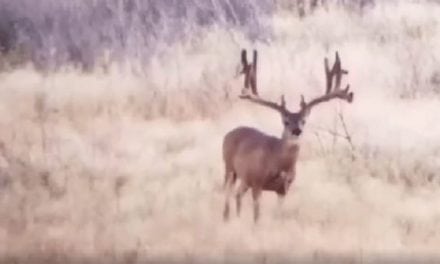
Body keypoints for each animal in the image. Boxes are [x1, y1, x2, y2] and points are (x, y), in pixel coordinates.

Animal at [223, 49, 354, 223]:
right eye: (285, 121)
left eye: (303, 121)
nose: (297, 131)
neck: (279, 163)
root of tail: (230, 133)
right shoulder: (257, 182)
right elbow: (257, 215)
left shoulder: (283, 188)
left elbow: (279, 214)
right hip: (229, 168)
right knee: (228, 195)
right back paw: (226, 217)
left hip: (244, 179)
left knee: (237, 195)